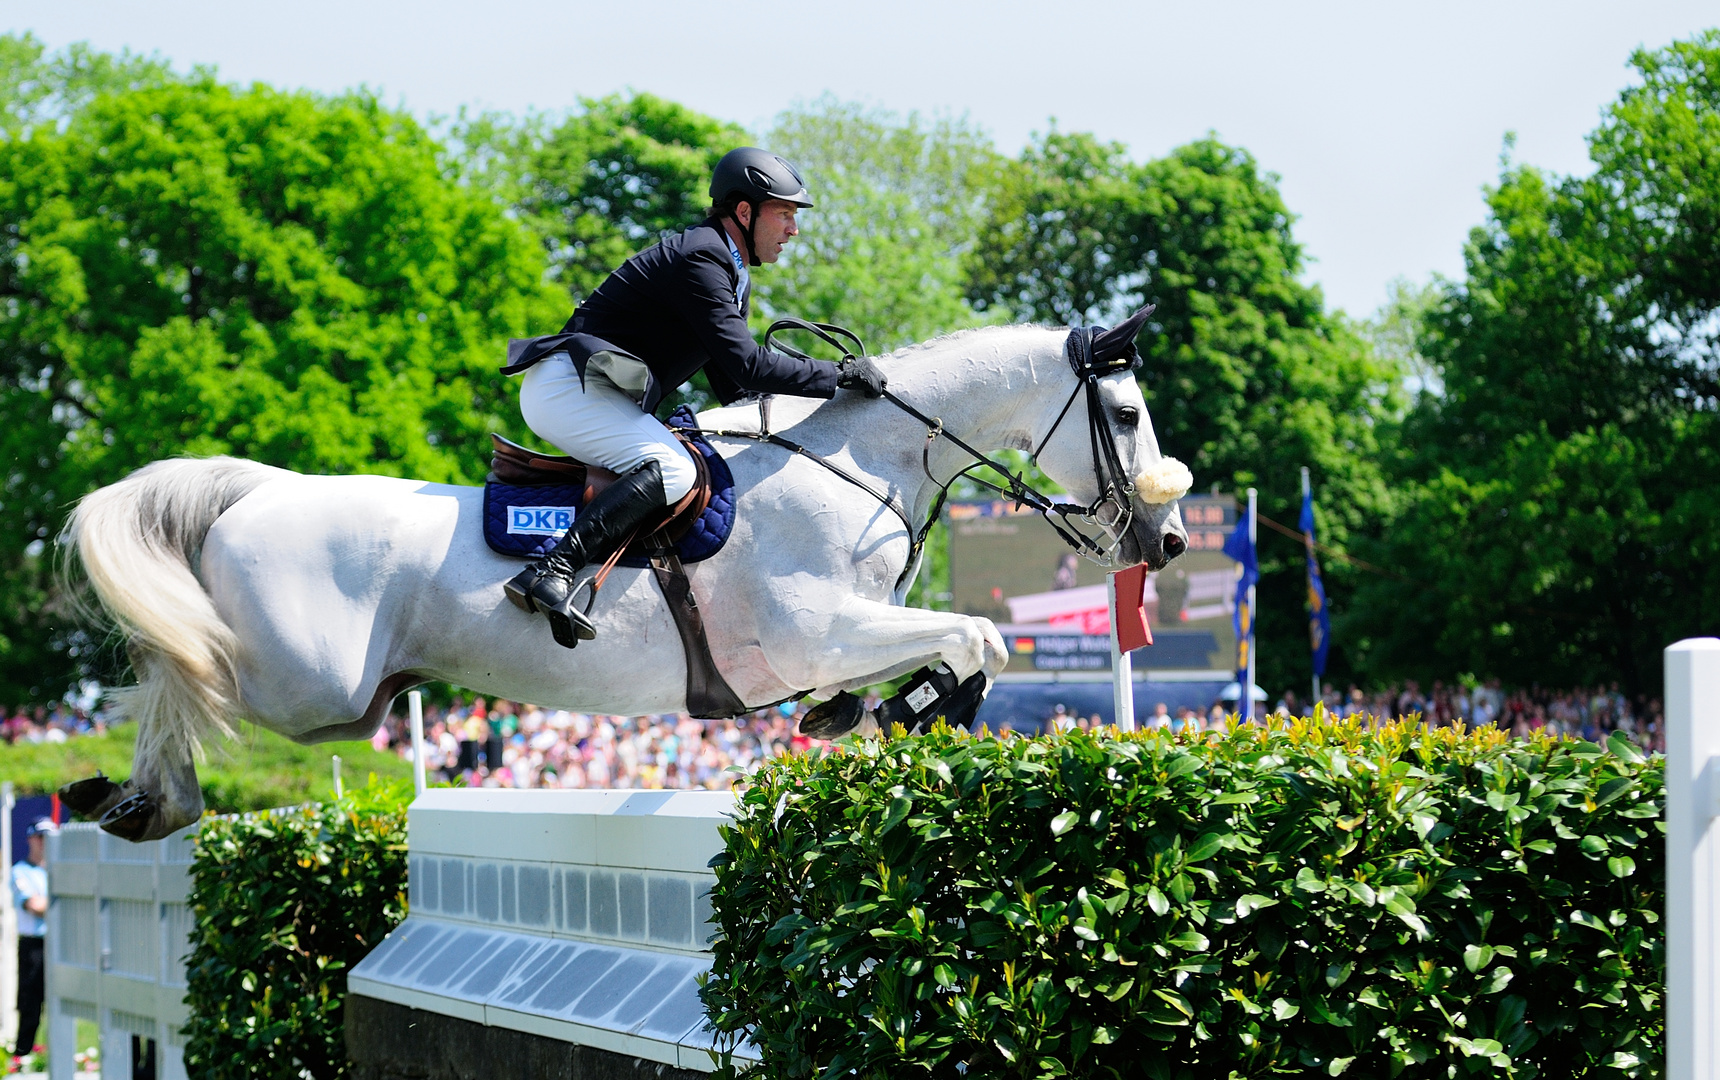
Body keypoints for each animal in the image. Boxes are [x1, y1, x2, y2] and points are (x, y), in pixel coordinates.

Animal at [60, 316, 1190, 839]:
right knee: (172, 671)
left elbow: (945, 646)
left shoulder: (842, 632)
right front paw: (925, 707)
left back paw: (138, 800)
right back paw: (129, 791)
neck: (861, 459)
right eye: (1128, 414)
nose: (1170, 540)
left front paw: (865, 713)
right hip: (305, 685)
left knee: (170, 683)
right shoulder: (817, 627)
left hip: (333, 695)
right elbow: (973, 636)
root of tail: (258, 491)